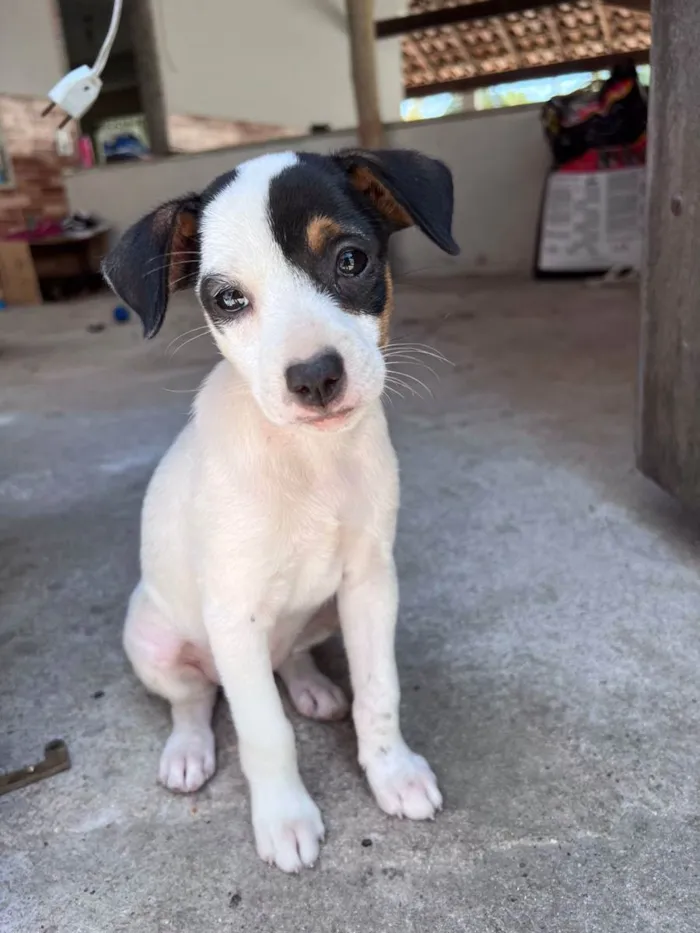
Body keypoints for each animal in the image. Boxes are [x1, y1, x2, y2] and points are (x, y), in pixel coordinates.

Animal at [102, 144, 460, 868]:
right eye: (229, 300)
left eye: (350, 260)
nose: (316, 377)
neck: (309, 461)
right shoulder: (233, 613)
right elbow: (265, 731)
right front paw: (285, 817)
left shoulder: (371, 582)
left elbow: (379, 691)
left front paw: (393, 772)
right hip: (153, 638)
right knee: (193, 698)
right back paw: (187, 751)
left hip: (321, 613)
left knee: (289, 655)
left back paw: (312, 686)